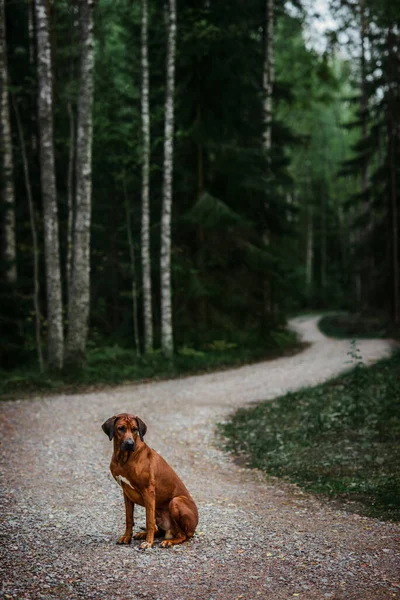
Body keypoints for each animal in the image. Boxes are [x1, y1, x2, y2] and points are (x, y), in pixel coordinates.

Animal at [101, 412, 198, 548]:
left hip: (176, 501)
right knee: (162, 531)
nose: (130, 444)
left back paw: (168, 541)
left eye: (135, 429)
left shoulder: (148, 491)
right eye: (121, 428)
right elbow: (129, 518)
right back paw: (144, 534)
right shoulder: (126, 493)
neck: (124, 458)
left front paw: (148, 543)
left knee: (182, 535)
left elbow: (149, 521)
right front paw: (127, 537)